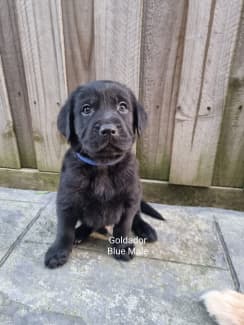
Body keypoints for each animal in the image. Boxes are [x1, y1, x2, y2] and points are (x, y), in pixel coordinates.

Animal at [45, 79, 164, 268]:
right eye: (86, 109)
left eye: (123, 107)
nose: (108, 129)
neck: (103, 165)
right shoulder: (67, 199)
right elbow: (64, 229)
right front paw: (58, 251)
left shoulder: (129, 199)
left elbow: (123, 226)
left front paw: (121, 248)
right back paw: (80, 233)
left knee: (137, 216)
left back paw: (146, 229)